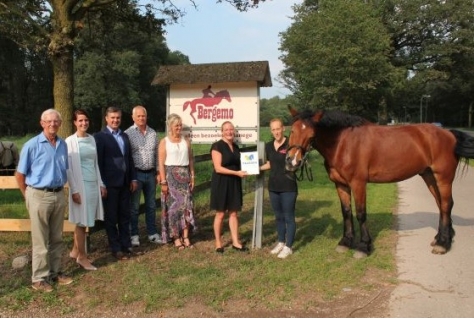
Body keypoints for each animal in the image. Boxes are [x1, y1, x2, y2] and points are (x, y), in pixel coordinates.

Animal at [286, 106, 474, 258]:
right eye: (292, 131)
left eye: (312, 135)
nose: (292, 161)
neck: (343, 143)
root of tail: (449, 133)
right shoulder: (340, 184)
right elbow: (346, 212)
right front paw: (345, 242)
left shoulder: (358, 183)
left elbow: (361, 214)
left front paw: (363, 247)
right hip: (428, 176)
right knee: (441, 204)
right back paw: (441, 239)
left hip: (443, 178)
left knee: (446, 205)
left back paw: (443, 244)